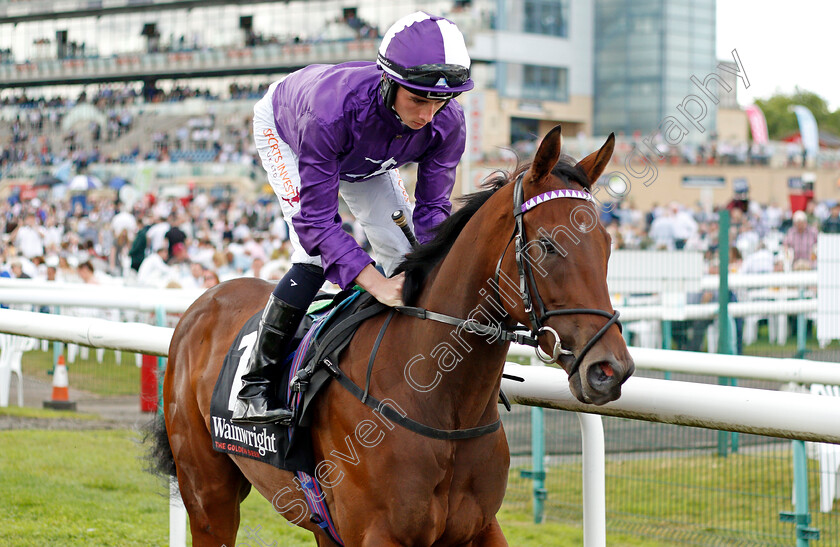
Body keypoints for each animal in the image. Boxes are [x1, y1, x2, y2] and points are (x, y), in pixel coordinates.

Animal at [154, 126, 632, 544]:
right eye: (548, 245)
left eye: (608, 245)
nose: (610, 369)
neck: (440, 403)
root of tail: (204, 301)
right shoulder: (377, 534)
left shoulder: (478, 527)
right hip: (208, 495)